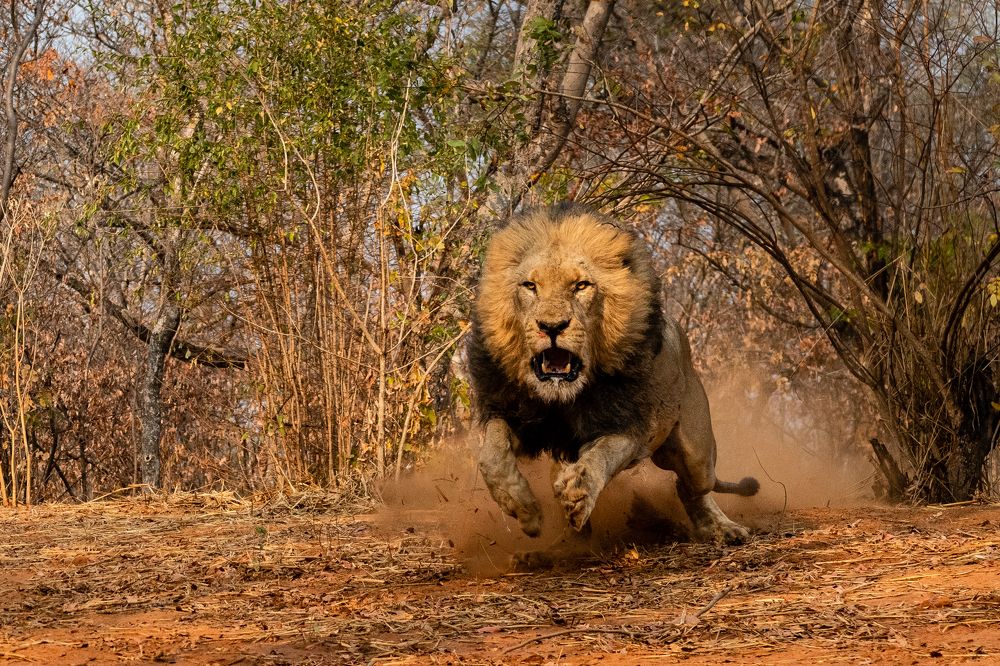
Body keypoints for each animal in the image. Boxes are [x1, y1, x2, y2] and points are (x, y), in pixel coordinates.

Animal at [467, 203, 759, 544]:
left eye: (581, 286)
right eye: (530, 286)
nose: (551, 326)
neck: (563, 399)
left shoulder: (628, 427)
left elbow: (600, 456)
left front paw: (577, 495)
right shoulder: (515, 414)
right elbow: (492, 456)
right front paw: (525, 510)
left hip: (697, 453)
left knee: (693, 486)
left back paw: (723, 527)